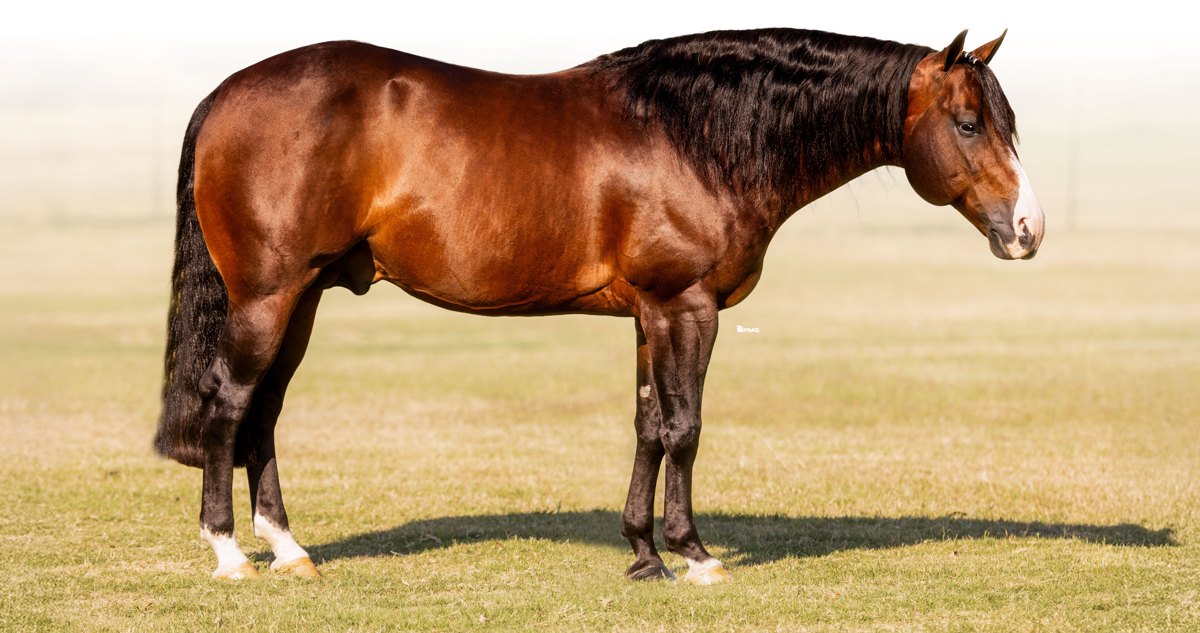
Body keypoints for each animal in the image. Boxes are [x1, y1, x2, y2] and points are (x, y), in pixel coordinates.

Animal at [155, 27, 1044, 584]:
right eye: (969, 122)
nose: (1029, 230)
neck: (696, 134)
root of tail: (225, 94)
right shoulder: (687, 307)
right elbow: (685, 427)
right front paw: (695, 555)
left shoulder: (651, 314)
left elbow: (650, 424)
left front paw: (644, 554)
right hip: (267, 298)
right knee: (230, 405)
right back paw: (229, 552)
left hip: (300, 300)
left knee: (264, 412)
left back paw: (288, 548)